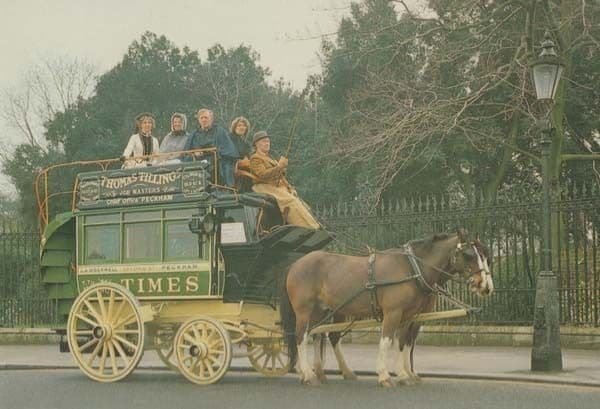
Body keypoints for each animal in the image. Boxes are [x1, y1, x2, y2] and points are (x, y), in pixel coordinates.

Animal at [280, 230, 492, 386]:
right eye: (469, 255)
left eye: (486, 256)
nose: (486, 286)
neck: (413, 268)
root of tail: (295, 264)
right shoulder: (393, 312)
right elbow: (386, 340)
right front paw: (385, 375)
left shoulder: (409, 315)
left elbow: (403, 342)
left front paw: (405, 374)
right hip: (304, 311)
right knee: (301, 336)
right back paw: (308, 374)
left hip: (323, 310)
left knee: (319, 335)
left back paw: (325, 372)